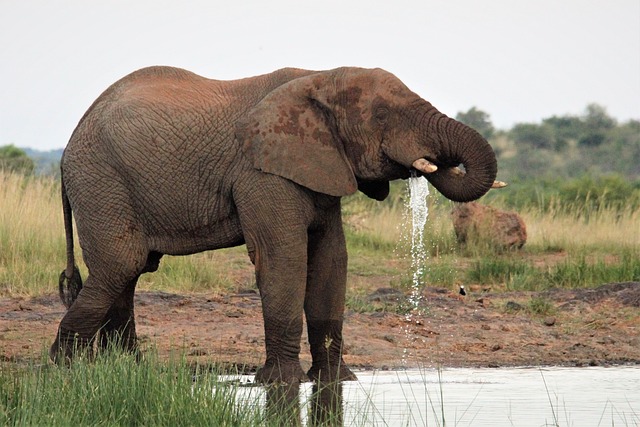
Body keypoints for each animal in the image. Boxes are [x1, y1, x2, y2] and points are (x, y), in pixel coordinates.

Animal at [48, 66, 504, 384]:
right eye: (380, 115)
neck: (319, 77)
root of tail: (69, 143)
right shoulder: (260, 173)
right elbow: (284, 256)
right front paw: (282, 383)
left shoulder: (321, 166)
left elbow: (331, 258)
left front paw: (336, 380)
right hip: (100, 180)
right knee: (120, 265)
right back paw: (63, 368)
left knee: (129, 271)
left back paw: (125, 370)